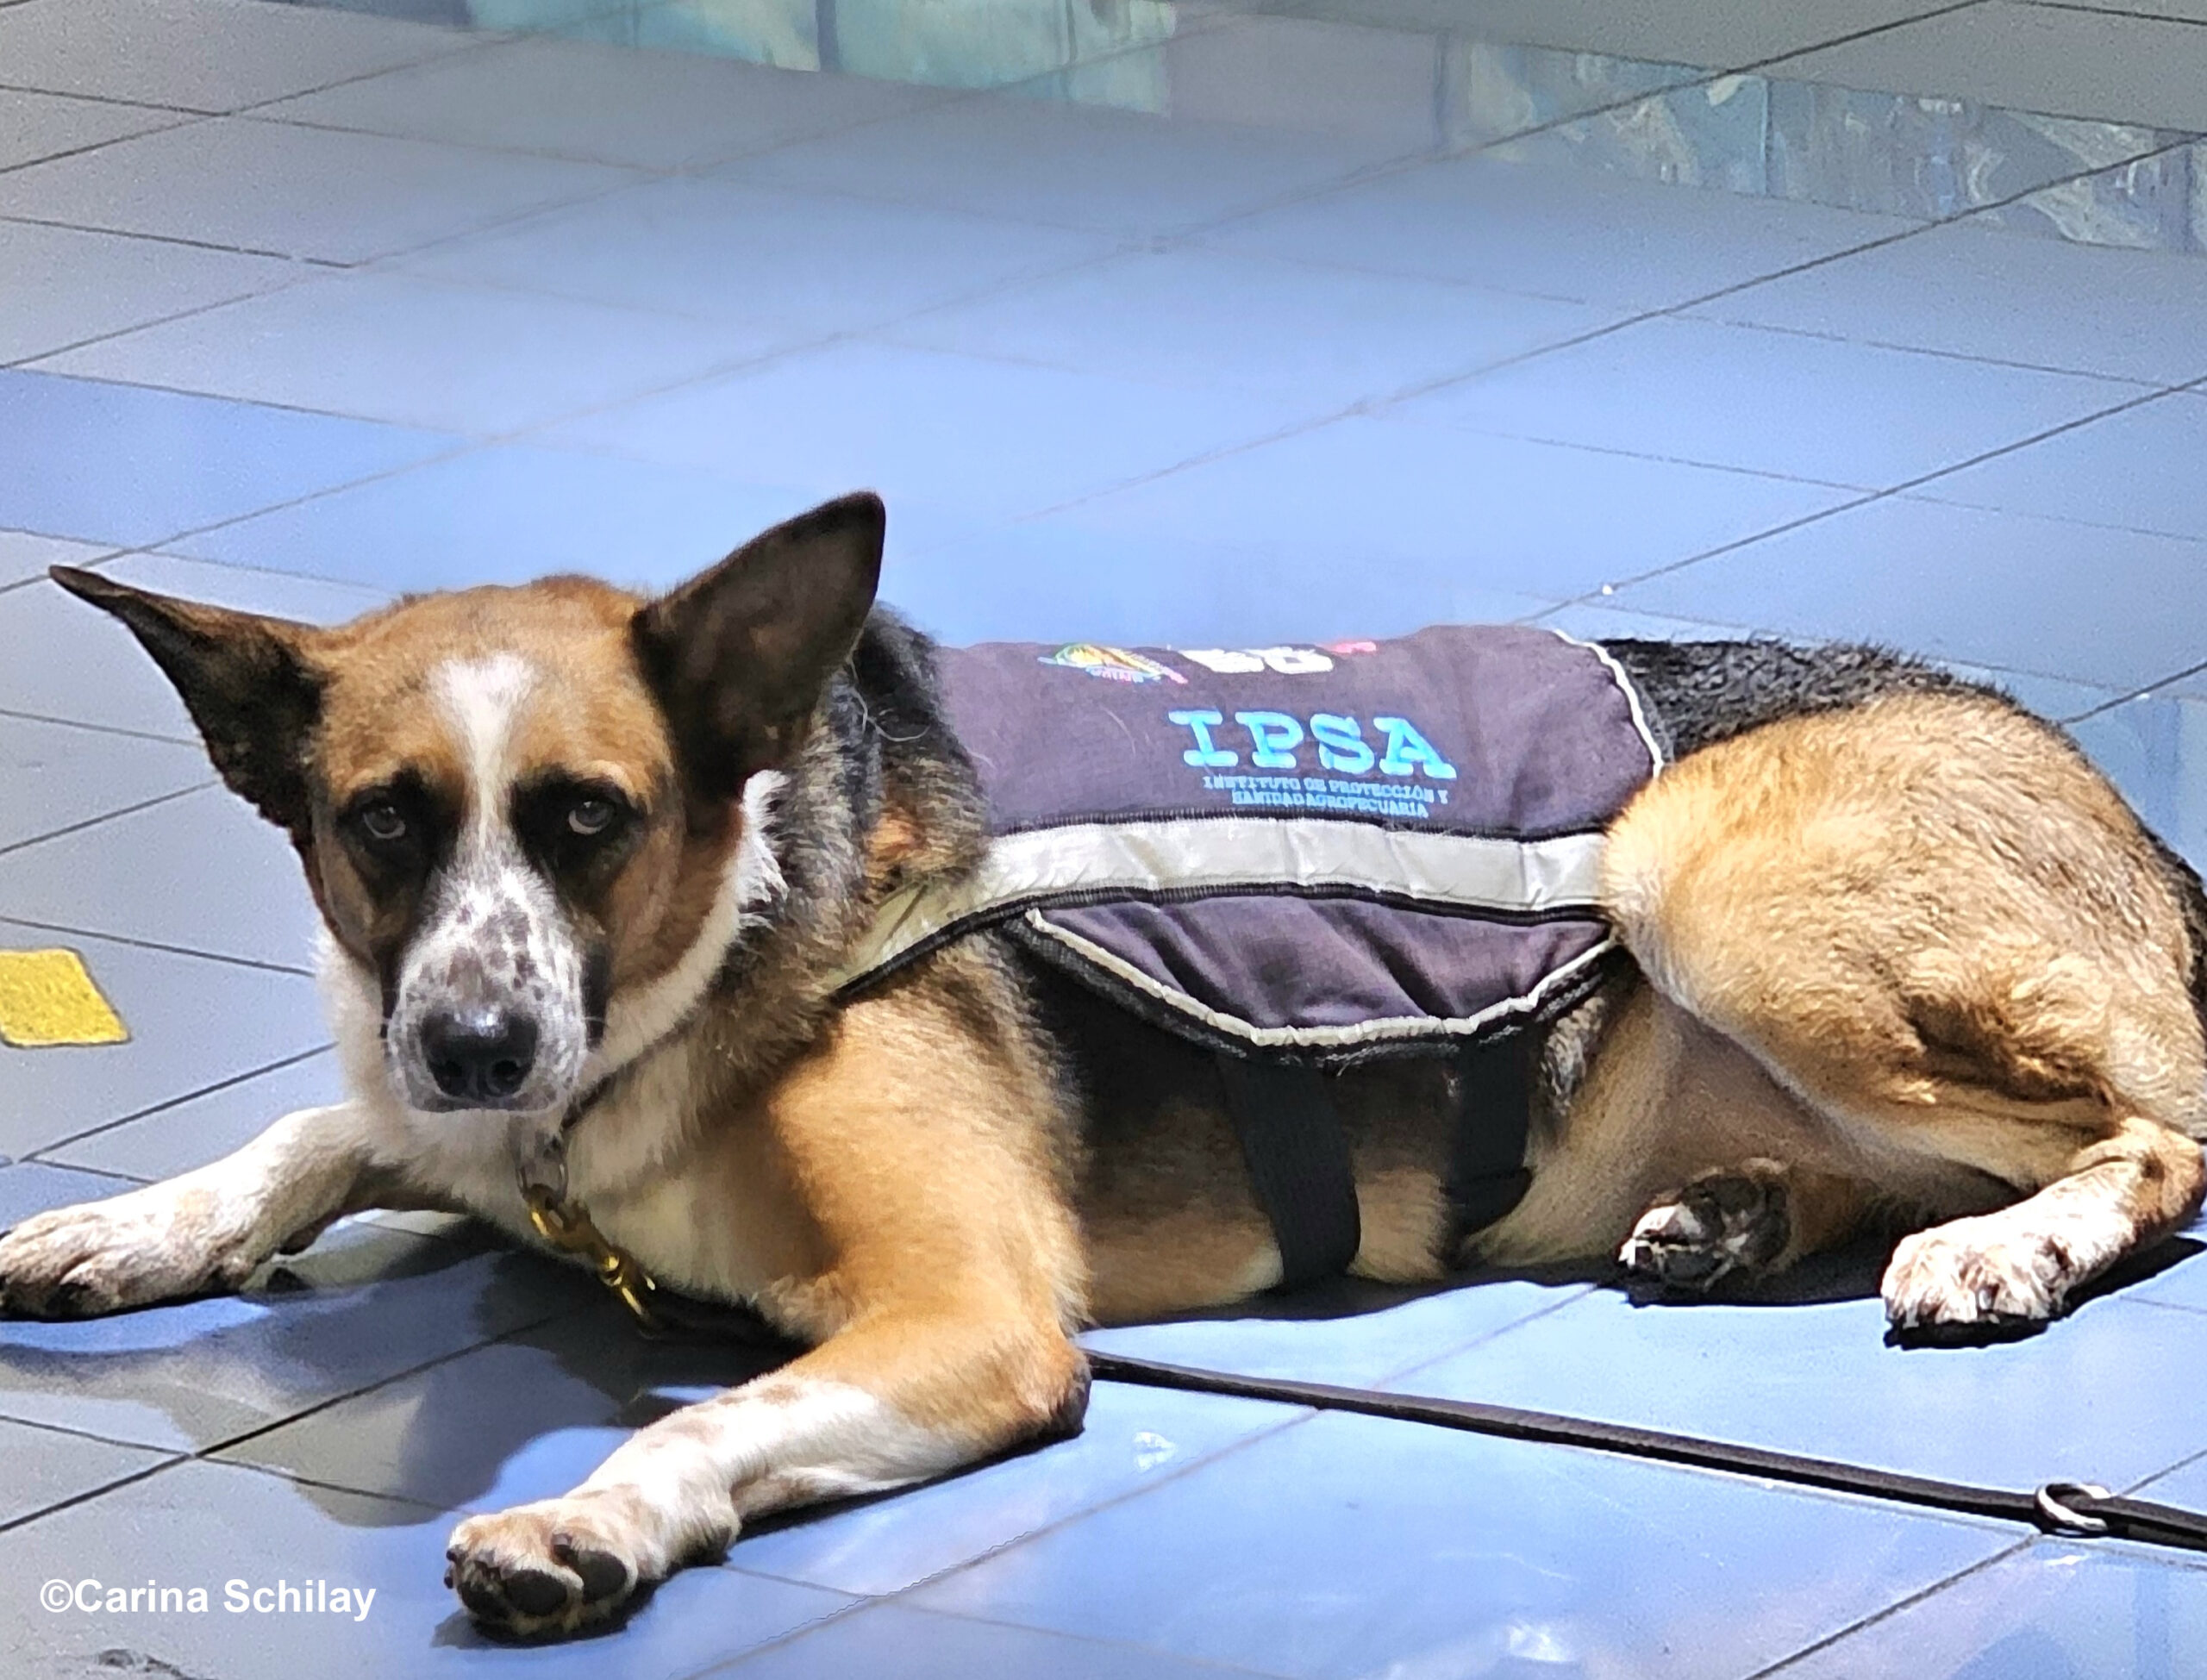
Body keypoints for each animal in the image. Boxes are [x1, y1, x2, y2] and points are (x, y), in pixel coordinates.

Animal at [9, 488, 2198, 1642]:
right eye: (377, 822)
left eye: (588, 820)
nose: (472, 1042)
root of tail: (2124, 813)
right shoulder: (453, 1114)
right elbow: (308, 1127)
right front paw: (130, 1226)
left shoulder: (967, 1313)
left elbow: (714, 1414)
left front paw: (594, 1516)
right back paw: (1742, 1209)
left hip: (1697, 877)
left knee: (2160, 1124)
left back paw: (1999, 1245)